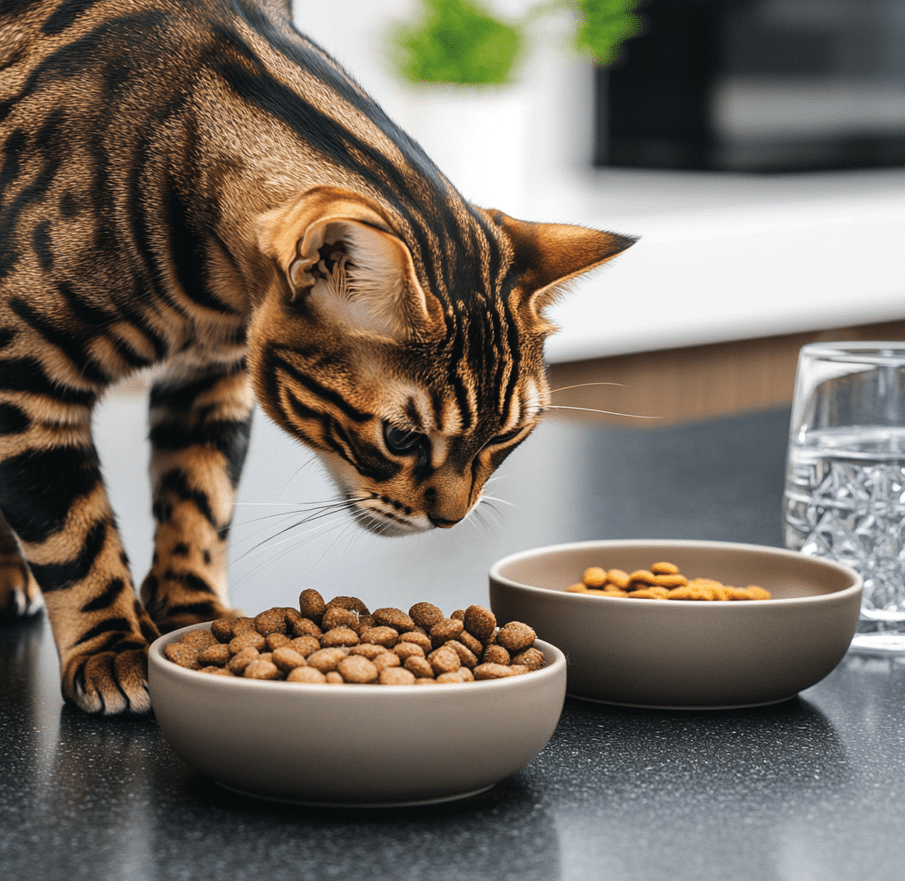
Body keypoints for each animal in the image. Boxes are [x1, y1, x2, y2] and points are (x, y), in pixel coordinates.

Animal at [0, 0, 636, 716]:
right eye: (400, 437)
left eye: (507, 437)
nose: (449, 521)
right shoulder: (25, 377)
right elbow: (74, 535)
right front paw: (114, 646)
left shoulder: (212, 378)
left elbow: (198, 501)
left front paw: (193, 617)